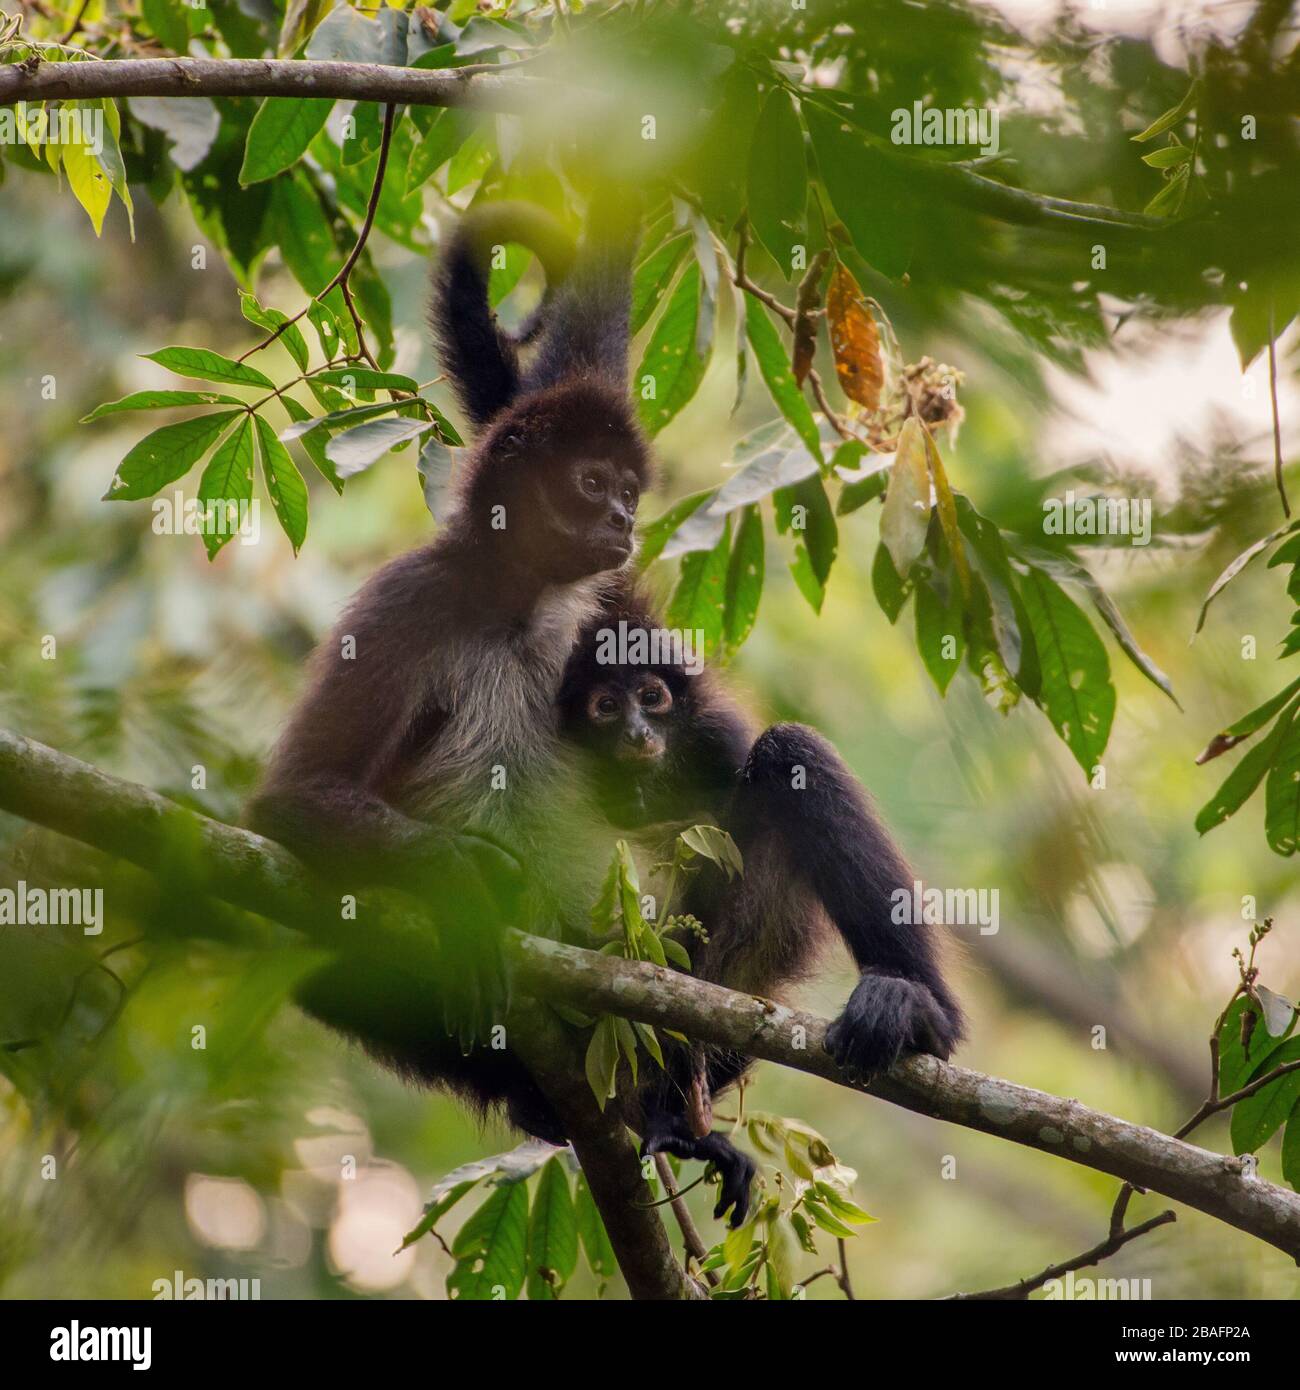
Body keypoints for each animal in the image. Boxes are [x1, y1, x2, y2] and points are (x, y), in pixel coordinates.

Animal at [558, 581, 967, 1223]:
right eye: (605, 707)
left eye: (651, 697)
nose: (637, 734)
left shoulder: (711, 730)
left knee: (789, 750)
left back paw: (919, 1014)